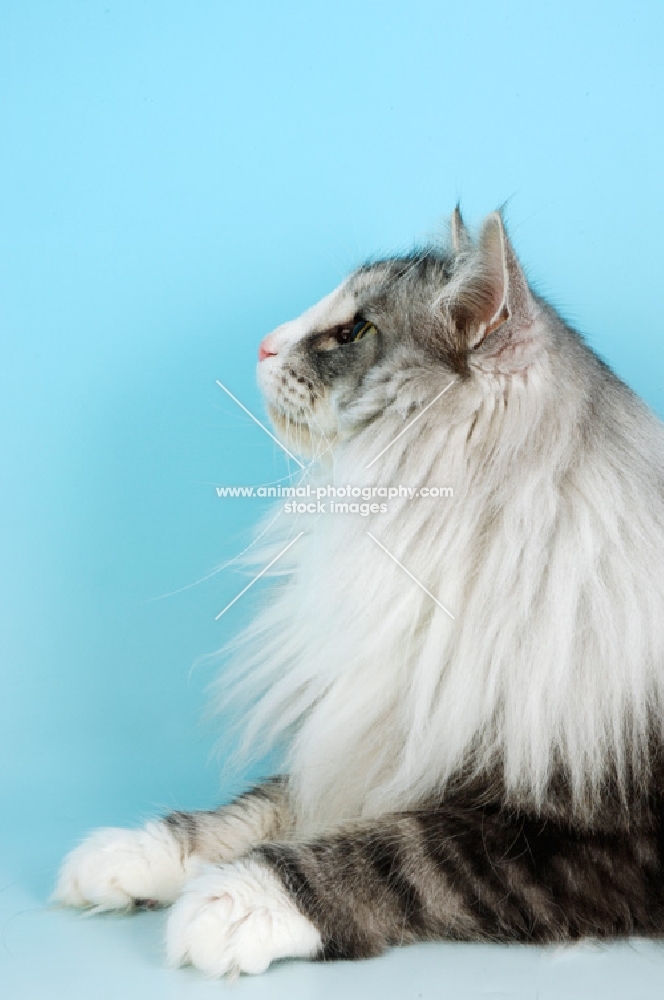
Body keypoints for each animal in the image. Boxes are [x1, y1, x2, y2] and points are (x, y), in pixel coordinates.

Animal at [55, 207, 664, 980]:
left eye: (354, 332)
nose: (264, 344)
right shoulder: (379, 729)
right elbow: (261, 806)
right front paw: (134, 854)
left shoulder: (586, 837)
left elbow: (395, 852)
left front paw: (235, 903)